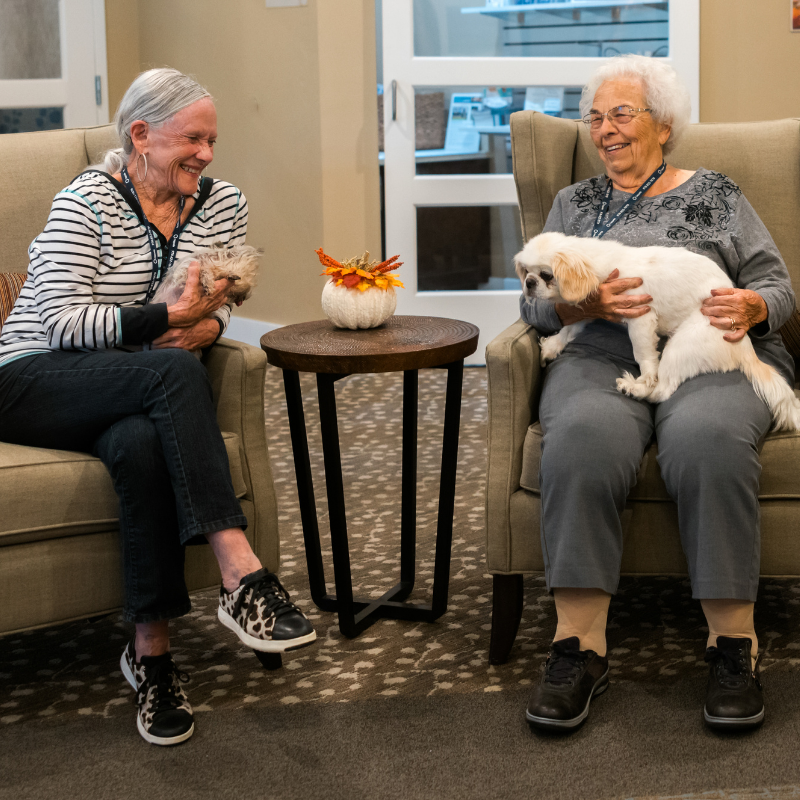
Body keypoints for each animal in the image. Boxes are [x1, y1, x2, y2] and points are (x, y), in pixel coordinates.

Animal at [512, 230, 800, 432]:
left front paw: (645, 378)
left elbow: (644, 356)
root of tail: (745, 348)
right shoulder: (593, 306)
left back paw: (635, 389)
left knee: (663, 390)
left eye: (546, 275)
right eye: (526, 271)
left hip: (680, 346)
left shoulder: (640, 317)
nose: (529, 283)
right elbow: (570, 327)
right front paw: (552, 346)